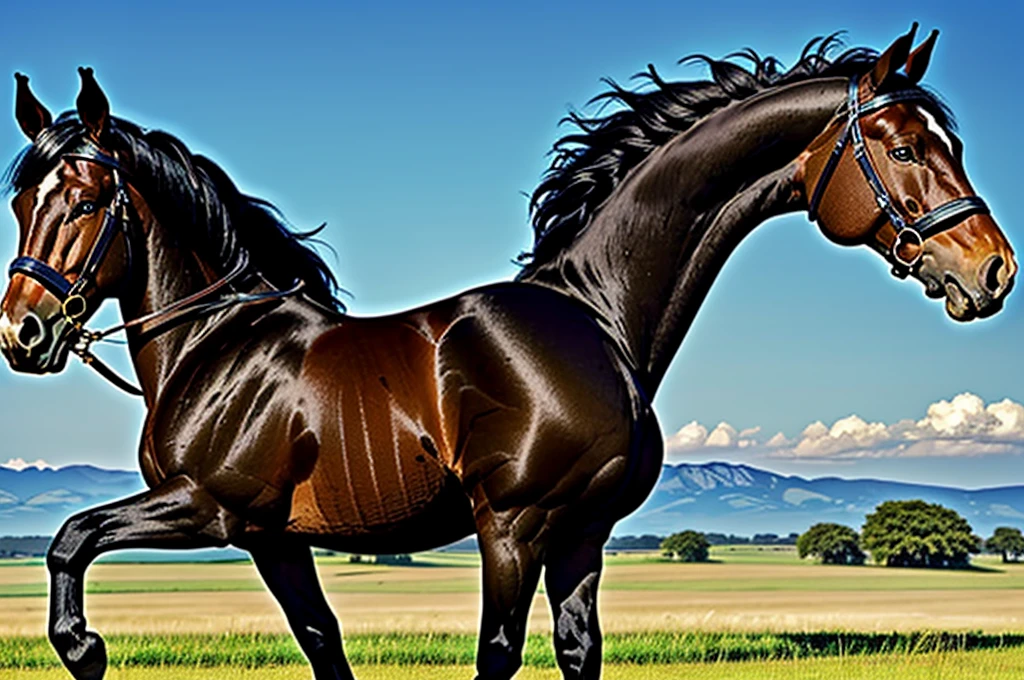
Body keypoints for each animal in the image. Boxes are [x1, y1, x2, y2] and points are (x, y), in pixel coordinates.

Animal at [0, 23, 1011, 680]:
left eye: (82, 200)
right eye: (904, 146)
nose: (23, 331)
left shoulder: (555, 532)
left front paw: (82, 647)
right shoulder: (255, 524)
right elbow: (79, 540)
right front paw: (84, 648)